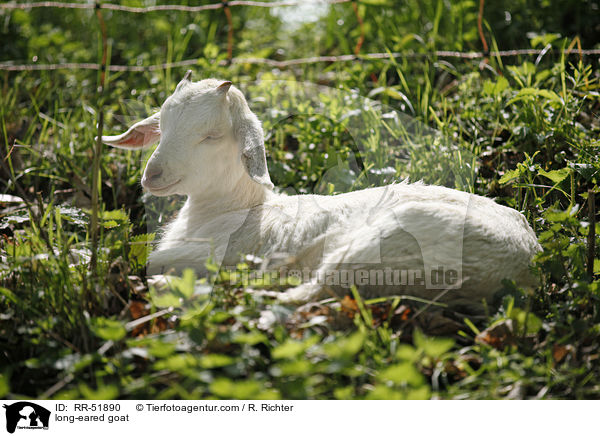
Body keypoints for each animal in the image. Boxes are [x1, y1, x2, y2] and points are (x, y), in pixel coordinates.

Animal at [101, 76, 540, 310]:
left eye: (210, 136)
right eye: (161, 126)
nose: (152, 175)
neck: (240, 209)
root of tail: (527, 263)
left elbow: (157, 261)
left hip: (381, 247)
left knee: (299, 292)